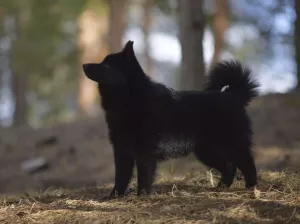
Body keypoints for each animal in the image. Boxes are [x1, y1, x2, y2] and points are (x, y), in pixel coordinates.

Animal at [82, 40, 260, 198]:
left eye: (106, 66)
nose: (84, 65)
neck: (130, 98)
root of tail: (234, 96)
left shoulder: (144, 152)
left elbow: (143, 177)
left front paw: (142, 196)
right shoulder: (122, 151)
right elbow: (120, 178)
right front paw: (113, 197)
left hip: (233, 145)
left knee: (248, 165)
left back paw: (251, 188)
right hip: (207, 151)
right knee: (229, 167)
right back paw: (220, 188)